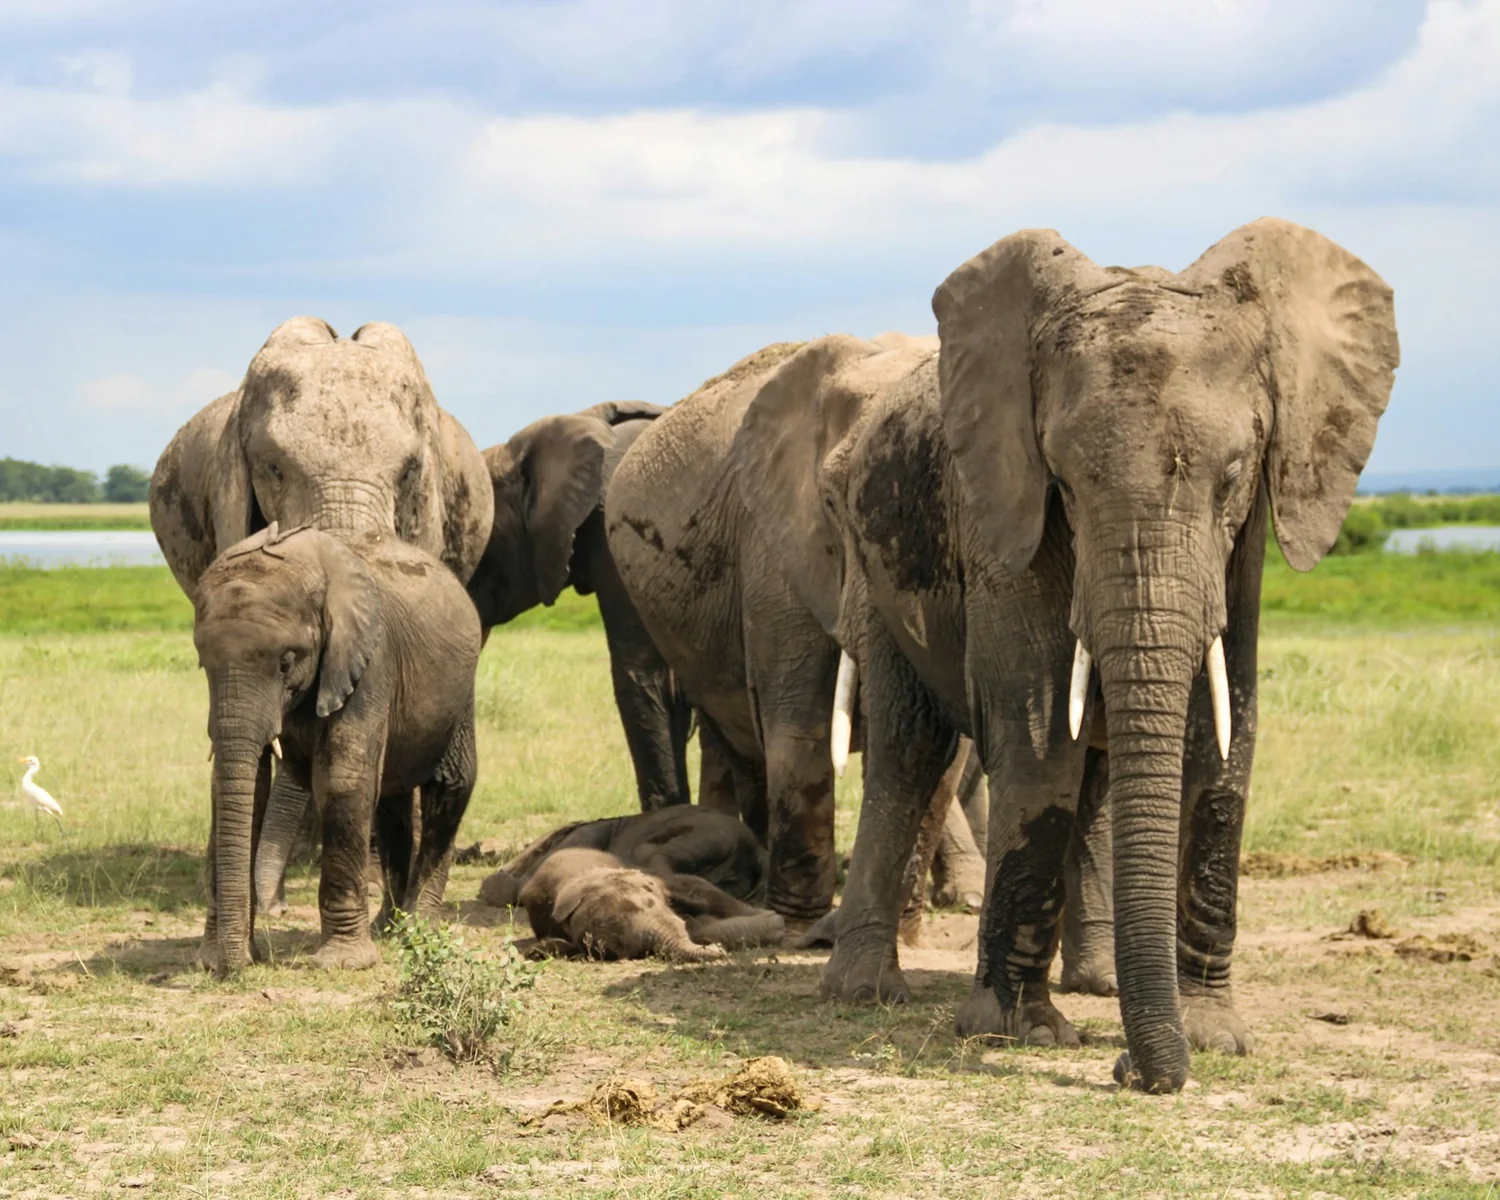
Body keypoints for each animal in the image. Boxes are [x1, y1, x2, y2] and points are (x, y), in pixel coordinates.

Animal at [192, 523, 481, 974]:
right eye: (203, 663)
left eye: (286, 661)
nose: (232, 969)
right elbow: (243, 788)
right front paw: (211, 958)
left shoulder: (370, 659)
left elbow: (343, 779)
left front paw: (343, 962)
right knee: (391, 805)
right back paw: (387, 928)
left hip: (460, 693)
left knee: (450, 787)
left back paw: (417, 929)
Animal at [734, 218, 1398, 1092]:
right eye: (1068, 484)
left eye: (1232, 476)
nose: (1129, 1072)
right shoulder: (1000, 505)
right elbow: (1037, 725)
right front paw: (1022, 1033)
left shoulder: (1249, 536)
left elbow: (1227, 734)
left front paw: (1212, 1037)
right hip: (877, 579)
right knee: (911, 753)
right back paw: (864, 992)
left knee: (1095, 777)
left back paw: (1102, 984)